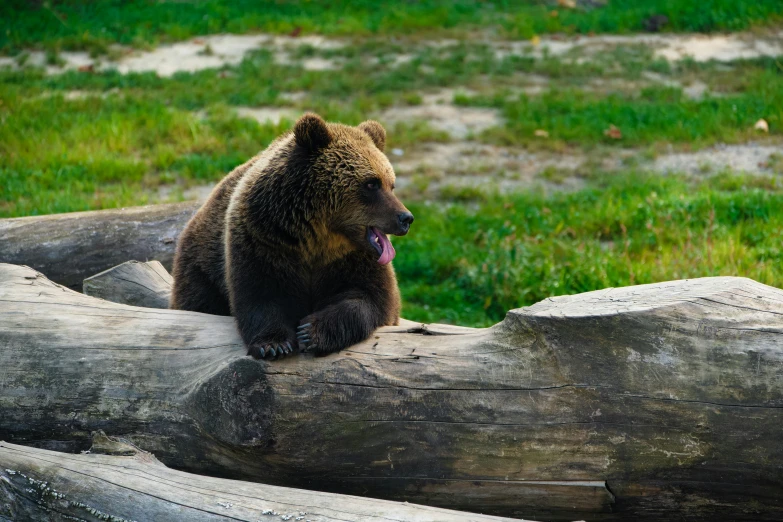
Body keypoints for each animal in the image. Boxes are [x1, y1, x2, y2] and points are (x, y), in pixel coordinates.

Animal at [171, 113, 414, 358]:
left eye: (391, 184)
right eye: (372, 183)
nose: (405, 218)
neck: (317, 237)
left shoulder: (353, 258)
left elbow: (369, 298)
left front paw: (312, 332)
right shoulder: (262, 239)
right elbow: (261, 294)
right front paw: (273, 344)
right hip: (202, 267)